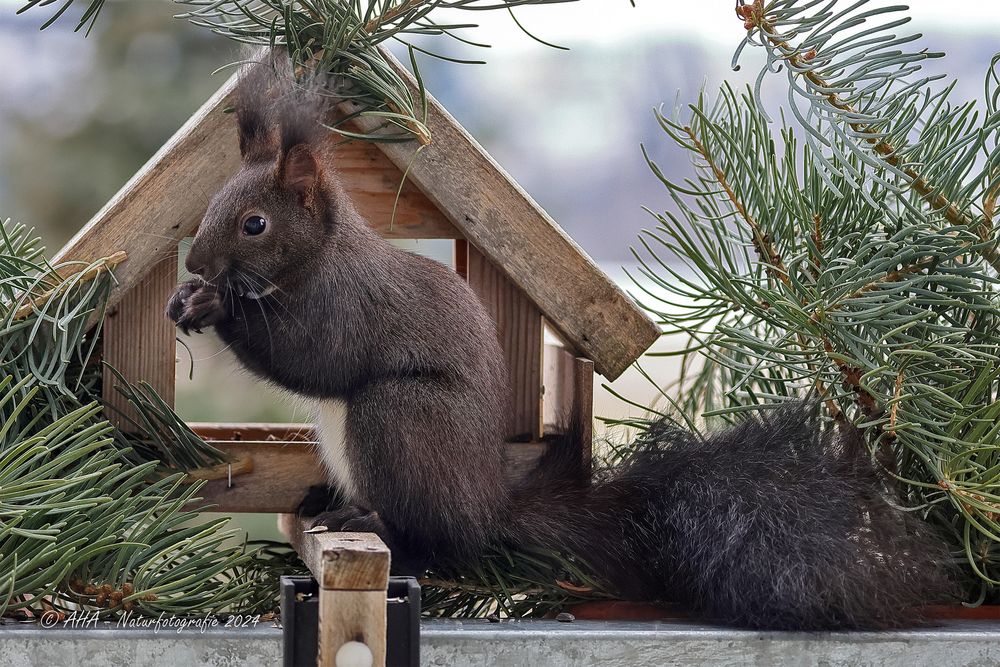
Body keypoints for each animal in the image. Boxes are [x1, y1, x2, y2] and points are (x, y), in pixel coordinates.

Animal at [168, 58, 956, 632]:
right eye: (210, 208)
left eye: (256, 224)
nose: (195, 263)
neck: (321, 257)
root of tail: (485, 505)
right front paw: (189, 300)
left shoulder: (348, 307)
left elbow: (313, 358)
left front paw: (216, 307)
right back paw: (324, 499)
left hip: (401, 417)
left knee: (435, 539)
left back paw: (368, 519)